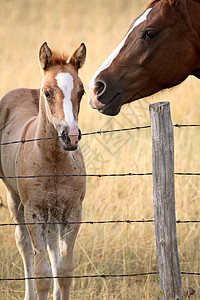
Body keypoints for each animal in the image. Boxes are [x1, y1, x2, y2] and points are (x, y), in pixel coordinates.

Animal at [0, 42, 86, 300]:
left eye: (82, 92)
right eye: (47, 93)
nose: (71, 136)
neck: (53, 161)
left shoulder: (72, 211)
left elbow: (65, 271)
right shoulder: (34, 211)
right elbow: (42, 273)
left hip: (53, 210)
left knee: (52, 243)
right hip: (15, 198)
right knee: (24, 245)